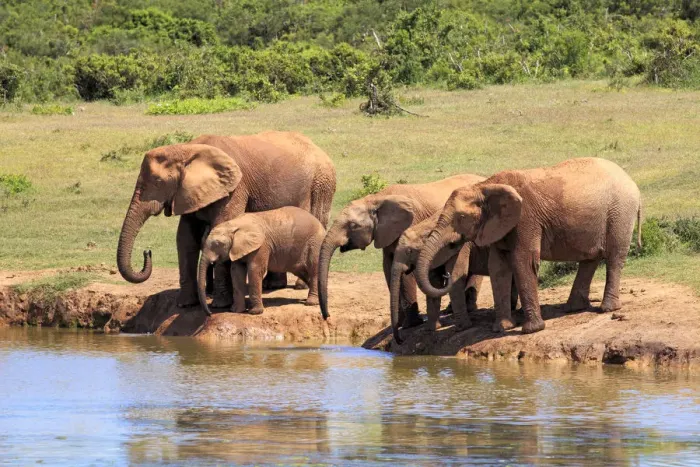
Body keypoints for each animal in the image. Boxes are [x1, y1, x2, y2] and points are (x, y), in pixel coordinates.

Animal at [116, 131, 336, 308]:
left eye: (158, 182)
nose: (147, 251)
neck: (187, 149)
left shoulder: (235, 188)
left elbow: (219, 227)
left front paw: (220, 305)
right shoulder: (188, 192)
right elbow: (185, 238)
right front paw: (186, 305)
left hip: (322, 184)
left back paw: (299, 286)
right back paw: (272, 285)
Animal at [317, 173, 485, 325]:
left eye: (353, 225)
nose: (327, 317)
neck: (377, 198)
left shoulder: (411, 222)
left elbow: (404, 272)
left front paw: (410, 324)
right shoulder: (386, 233)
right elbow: (388, 267)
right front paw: (399, 323)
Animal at [416, 157, 641, 335]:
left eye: (461, 217)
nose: (445, 275)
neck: (485, 186)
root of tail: (632, 183)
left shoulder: (525, 219)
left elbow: (523, 261)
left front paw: (531, 330)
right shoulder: (499, 226)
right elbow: (498, 268)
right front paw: (502, 328)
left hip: (620, 212)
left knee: (614, 257)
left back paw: (607, 309)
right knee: (590, 259)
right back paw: (573, 308)